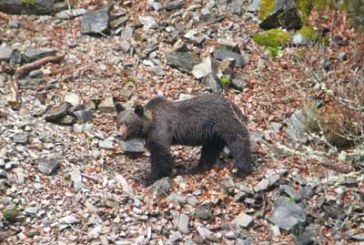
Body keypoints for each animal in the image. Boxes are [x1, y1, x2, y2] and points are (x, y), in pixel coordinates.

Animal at [115, 94, 252, 184]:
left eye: (128, 124)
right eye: (119, 122)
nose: (119, 135)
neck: (148, 125)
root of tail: (235, 106)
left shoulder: (160, 129)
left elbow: (160, 153)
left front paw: (149, 178)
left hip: (224, 121)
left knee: (238, 140)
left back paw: (242, 169)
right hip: (213, 134)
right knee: (210, 150)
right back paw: (197, 168)